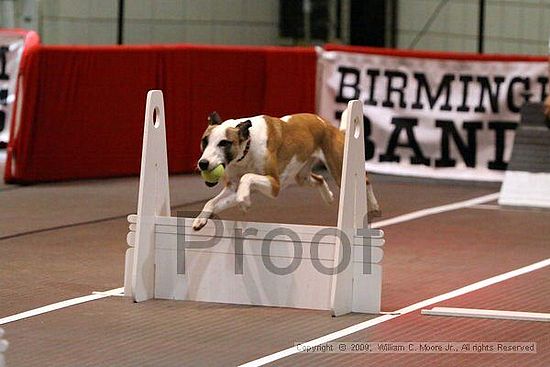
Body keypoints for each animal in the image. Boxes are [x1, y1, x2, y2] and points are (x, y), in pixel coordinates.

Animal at [195, 112, 384, 231]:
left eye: (224, 143)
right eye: (204, 141)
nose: (203, 164)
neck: (247, 145)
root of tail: (329, 125)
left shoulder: (274, 185)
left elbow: (247, 178)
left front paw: (244, 200)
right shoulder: (232, 188)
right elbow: (211, 202)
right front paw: (201, 219)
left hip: (339, 170)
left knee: (365, 181)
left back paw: (374, 206)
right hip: (302, 176)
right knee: (319, 178)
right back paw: (328, 196)